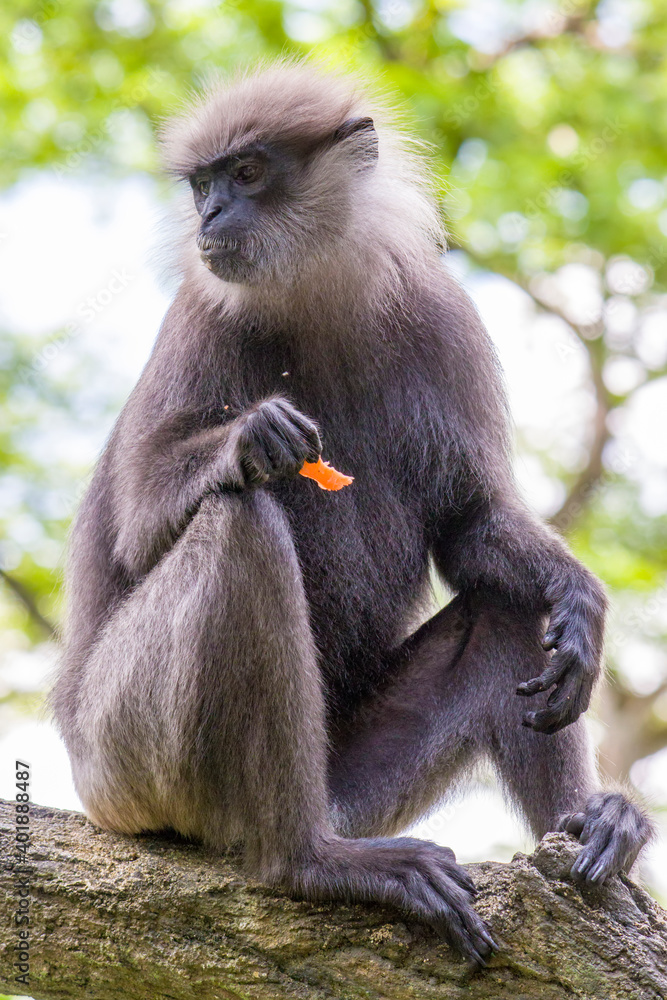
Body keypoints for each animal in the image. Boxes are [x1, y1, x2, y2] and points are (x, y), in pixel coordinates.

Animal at [52, 64, 652, 968]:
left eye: (246, 173)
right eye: (201, 185)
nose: (209, 218)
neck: (315, 297)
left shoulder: (441, 315)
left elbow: (470, 525)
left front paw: (580, 602)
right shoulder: (201, 313)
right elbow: (140, 517)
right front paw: (255, 436)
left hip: (350, 781)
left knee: (512, 612)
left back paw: (587, 833)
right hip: (124, 759)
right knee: (240, 526)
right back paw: (305, 861)